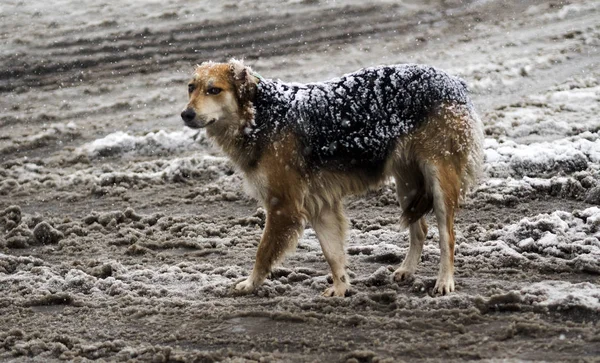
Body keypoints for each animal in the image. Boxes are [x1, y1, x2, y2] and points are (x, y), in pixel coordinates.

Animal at [180, 59, 486, 298]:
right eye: (191, 88)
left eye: (214, 90)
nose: (186, 114)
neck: (263, 116)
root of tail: (455, 82)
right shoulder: (320, 205)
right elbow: (333, 254)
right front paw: (341, 289)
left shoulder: (283, 206)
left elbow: (263, 252)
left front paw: (250, 283)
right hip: (408, 185)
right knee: (419, 228)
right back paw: (407, 269)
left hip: (439, 181)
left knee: (447, 236)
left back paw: (445, 281)